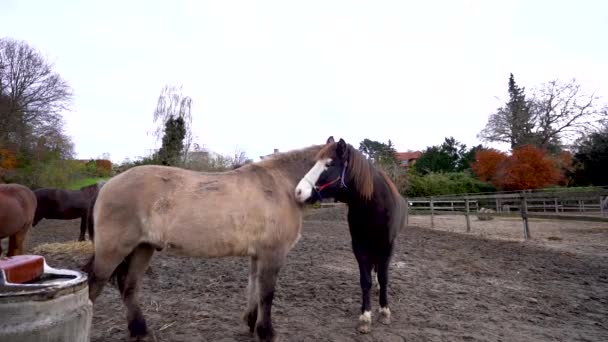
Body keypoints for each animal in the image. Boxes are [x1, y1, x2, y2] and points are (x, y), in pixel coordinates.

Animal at [83, 140, 330, 340]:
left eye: (329, 164)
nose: (302, 192)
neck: (279, 186)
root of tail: (106, 185)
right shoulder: (272, 255)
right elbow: (266, 295)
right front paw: (266, 333)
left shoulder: (258, 255)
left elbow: (254, 290)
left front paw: (252, 324)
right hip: (112, 252)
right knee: (92, 289)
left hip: (143, 248)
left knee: (129, 288)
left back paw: (140, 331)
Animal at [294, 137, 404, 334]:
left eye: (329, 164)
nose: (298, 192)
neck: (373, 207)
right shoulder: (359, 246)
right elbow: (365, 280)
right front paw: (365, 316)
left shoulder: (388, 246)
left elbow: (384, 278)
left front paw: (384, 311)